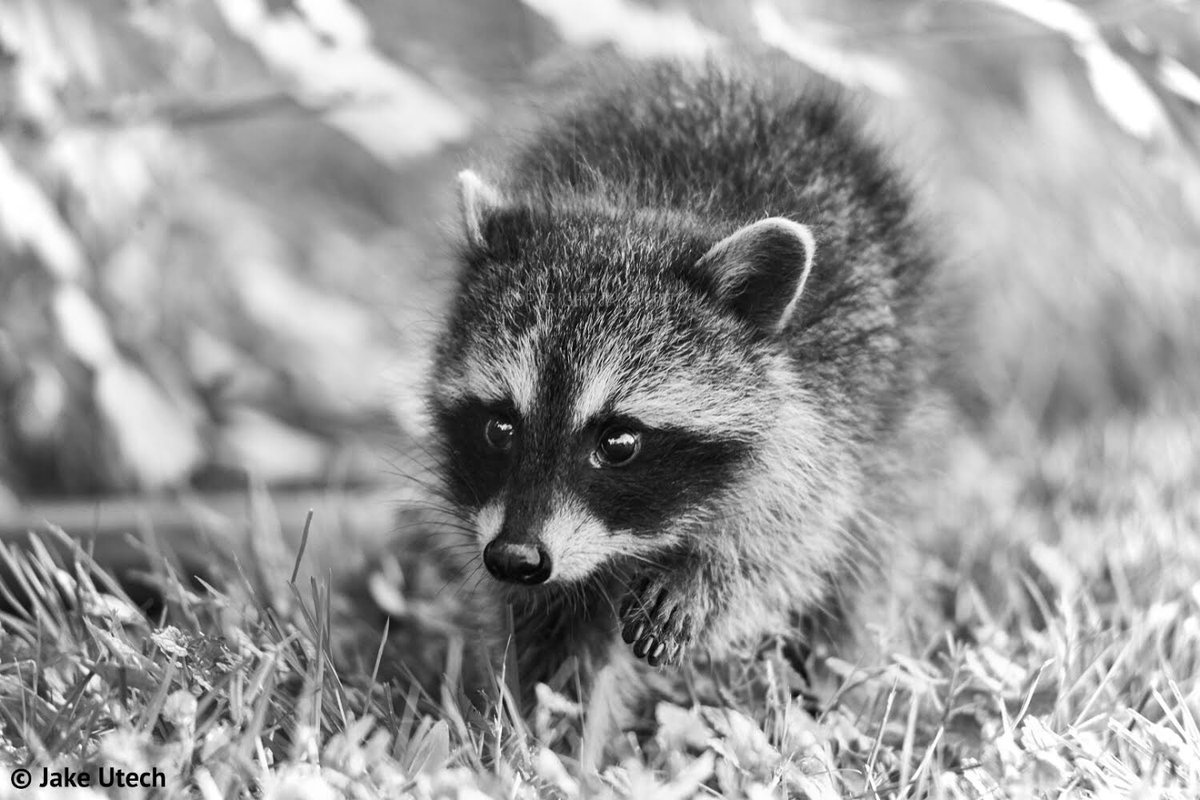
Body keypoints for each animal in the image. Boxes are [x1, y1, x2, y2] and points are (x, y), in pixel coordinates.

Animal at [427, 62, 938, 716]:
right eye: (500, 426)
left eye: (619, 443)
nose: (514, 558)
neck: (644, 206)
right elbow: (554, 628)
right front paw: (552, 722)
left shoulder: (829, 414)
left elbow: (793, 539)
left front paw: (707, 579)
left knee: (859, 565)